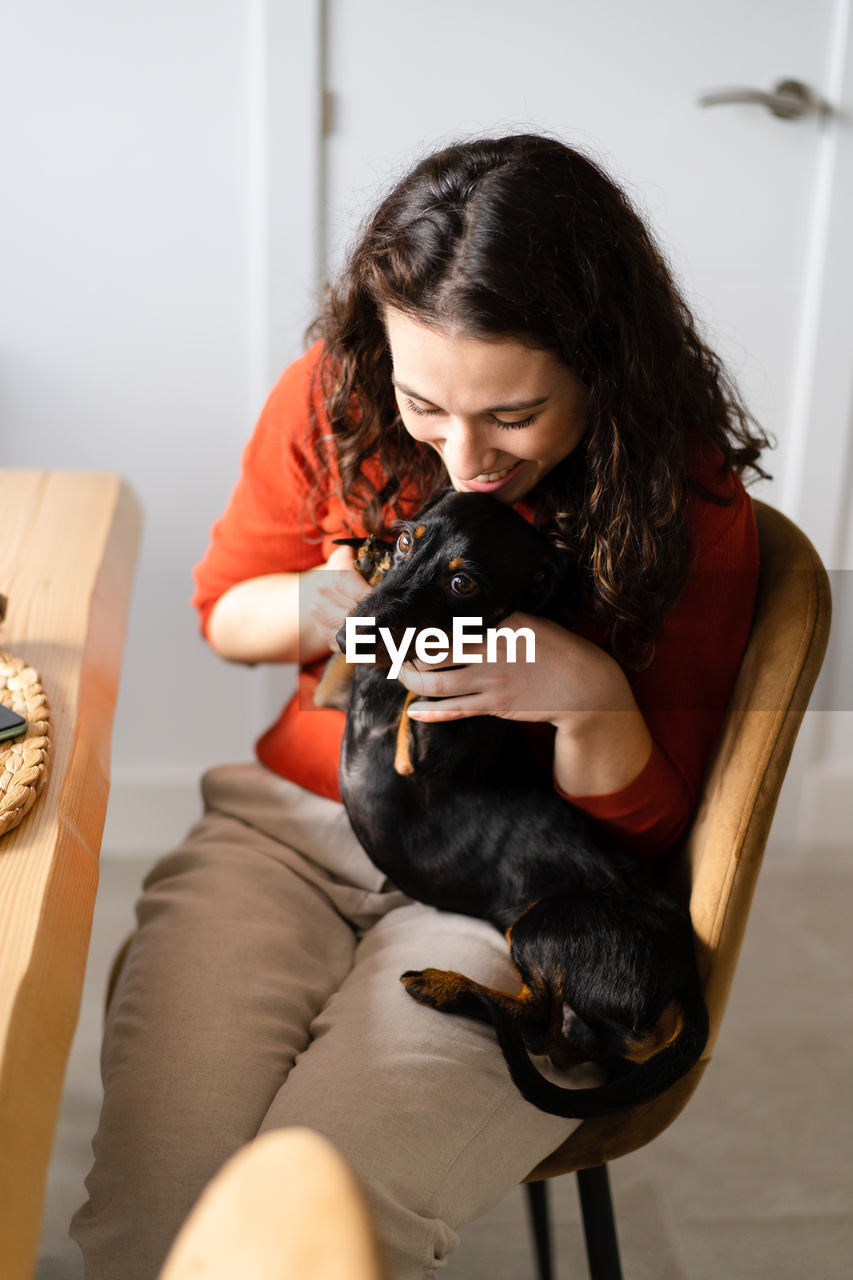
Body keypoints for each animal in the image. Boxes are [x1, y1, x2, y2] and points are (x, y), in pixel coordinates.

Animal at [325, 491, 701, 1121]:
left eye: (463, 584)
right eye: (406, 540)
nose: (349, 636)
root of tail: (691, 971)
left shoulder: (426, 751)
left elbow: (423, 689)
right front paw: (366, 552)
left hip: (540, 922)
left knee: (535, 1026)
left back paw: (446, 987)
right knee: (560, 1036)